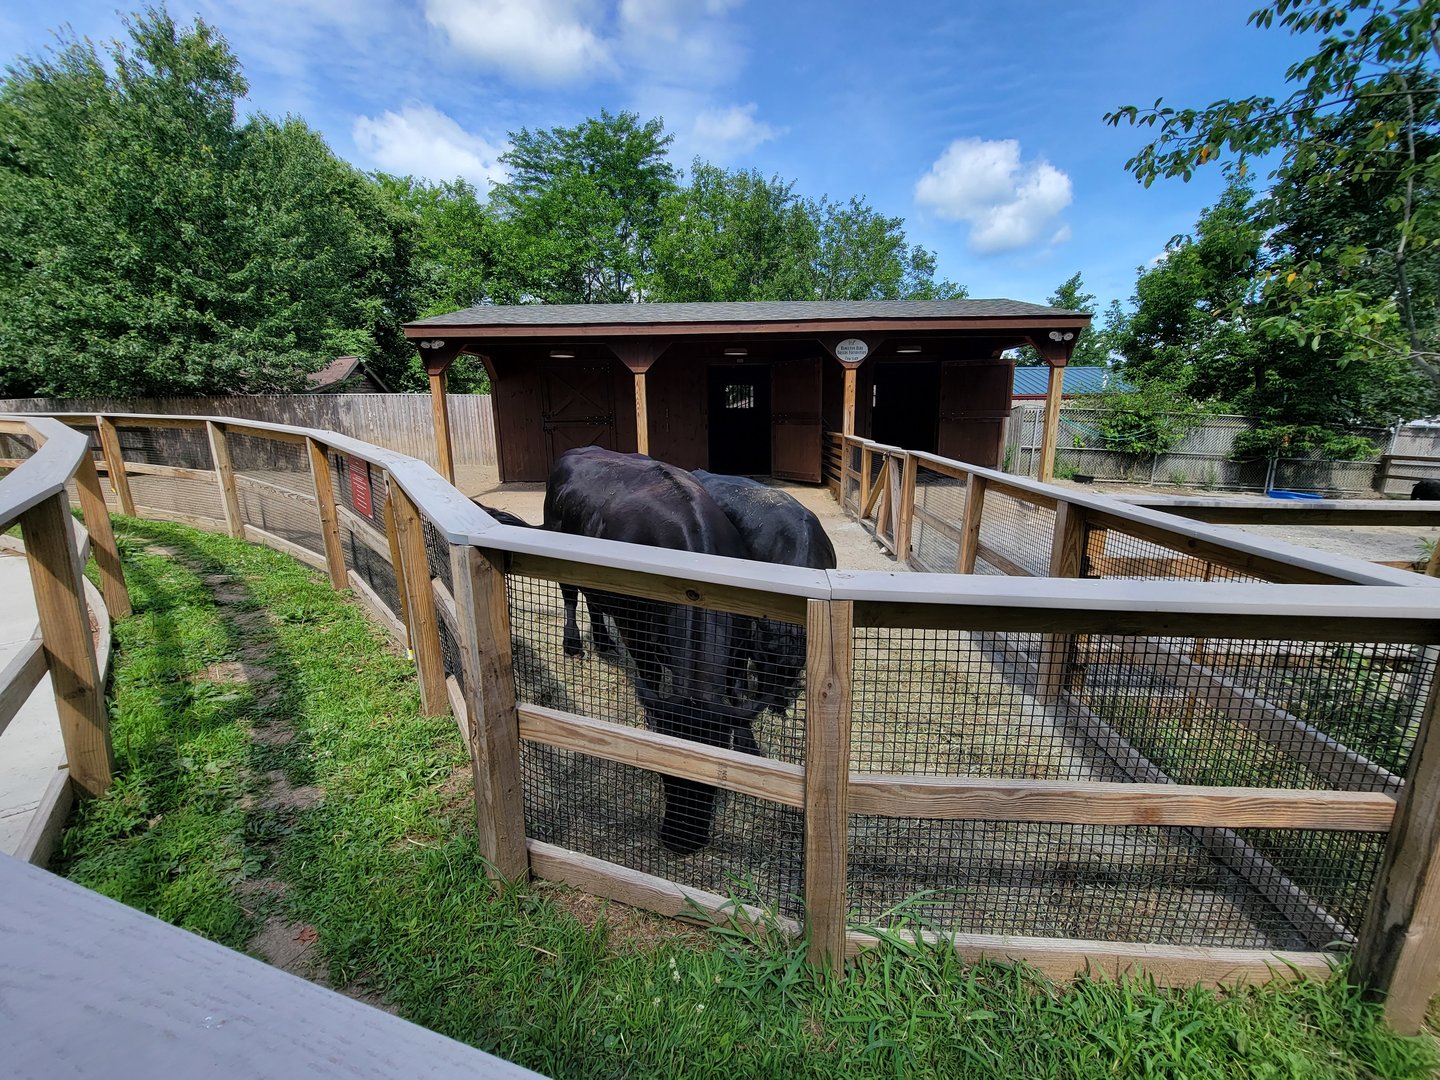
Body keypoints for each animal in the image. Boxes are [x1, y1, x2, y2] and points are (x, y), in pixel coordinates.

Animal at [543, 448, 764, 855]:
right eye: (665, 771)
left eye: (715, 777)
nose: (681, 841)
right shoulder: (638, 635)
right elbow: (651, 677)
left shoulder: (741, 642)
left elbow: (737, 690)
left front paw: (748, 747)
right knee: (570, 595)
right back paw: (574, 643)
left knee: (594, 601)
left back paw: (604, 643)